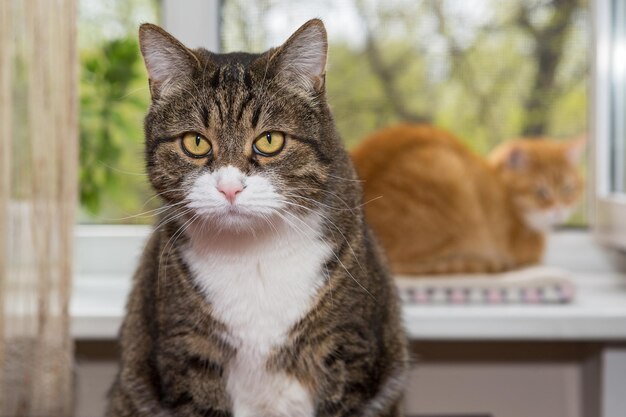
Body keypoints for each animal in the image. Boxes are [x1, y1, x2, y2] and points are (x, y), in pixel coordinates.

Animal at [106, 20, 410, 416]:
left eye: (269, 140)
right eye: (195, 143)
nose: (230, 188)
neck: (253, 257)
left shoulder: (348, 347)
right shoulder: (186, 349)